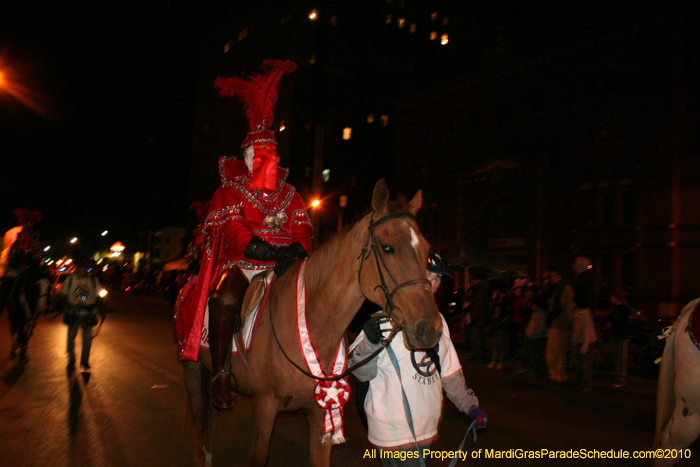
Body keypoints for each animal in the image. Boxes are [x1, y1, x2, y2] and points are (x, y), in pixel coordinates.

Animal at [180, 180, 442, 467]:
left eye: (426, 250)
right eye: (387, 247)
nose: (430, 329)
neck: (315, 326)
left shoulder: (322, 410)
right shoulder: (265, 406)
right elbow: (258, 456)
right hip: (192, 368)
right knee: (199, 417)